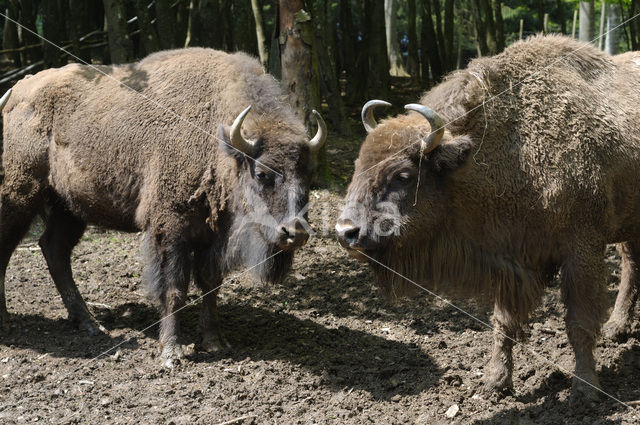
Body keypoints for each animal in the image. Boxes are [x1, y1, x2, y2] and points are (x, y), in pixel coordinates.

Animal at [1, 47, 324, 364]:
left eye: (309, 174)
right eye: (262, 173)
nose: (295, 232)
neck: (218, 140)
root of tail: (15, 96)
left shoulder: (211, 238)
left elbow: (211, 285)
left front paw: (213, 342)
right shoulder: (169, 230)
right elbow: (174, 290)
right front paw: (171, 353)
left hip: (68, 207)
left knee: (54, 250)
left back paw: (90, 324)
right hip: (20, 196)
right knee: (10, 248)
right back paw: (8, 321)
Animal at [336, 34, 640, 402]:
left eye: (403, 175)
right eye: (358, 164)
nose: (346, 232)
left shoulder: (582, 252)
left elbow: (578, 323)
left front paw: (584, 389)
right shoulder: (511, 256)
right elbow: (503, 322)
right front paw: (496, 382)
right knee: (632, 264)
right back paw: (616, 328)